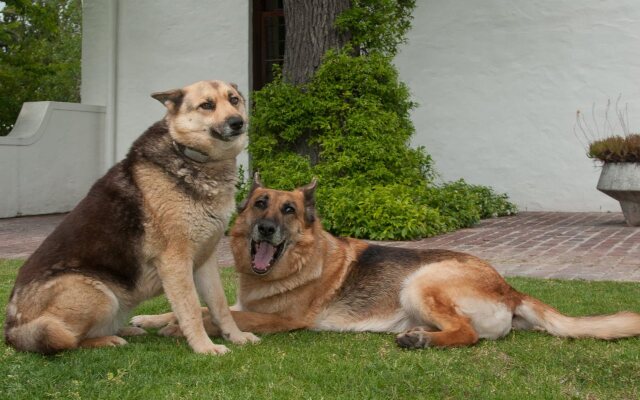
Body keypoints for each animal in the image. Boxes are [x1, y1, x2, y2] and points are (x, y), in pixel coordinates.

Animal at [3, 79, 258, 354]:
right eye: (207, 105)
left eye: (233, 100)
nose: (237, 122)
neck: (189, 154)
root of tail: (12, 331)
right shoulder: (176, 262)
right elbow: (190, 308)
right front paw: (204, 347)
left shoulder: (206, 261)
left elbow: (219, 306)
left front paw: (236, 336)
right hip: (97, 293)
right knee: (67, 339)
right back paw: (109, 340)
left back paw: (126, 330)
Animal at [132, 174, 640, 346]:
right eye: (260, 204)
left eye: (289, 210)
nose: (266, 229)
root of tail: (509, 287)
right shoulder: (244, 303)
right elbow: (196, 307)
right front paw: (151, 321)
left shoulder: (284, 321)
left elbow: (211, 314)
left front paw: (180, 328)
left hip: (419, 282)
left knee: (468, 334)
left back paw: (421, 341)